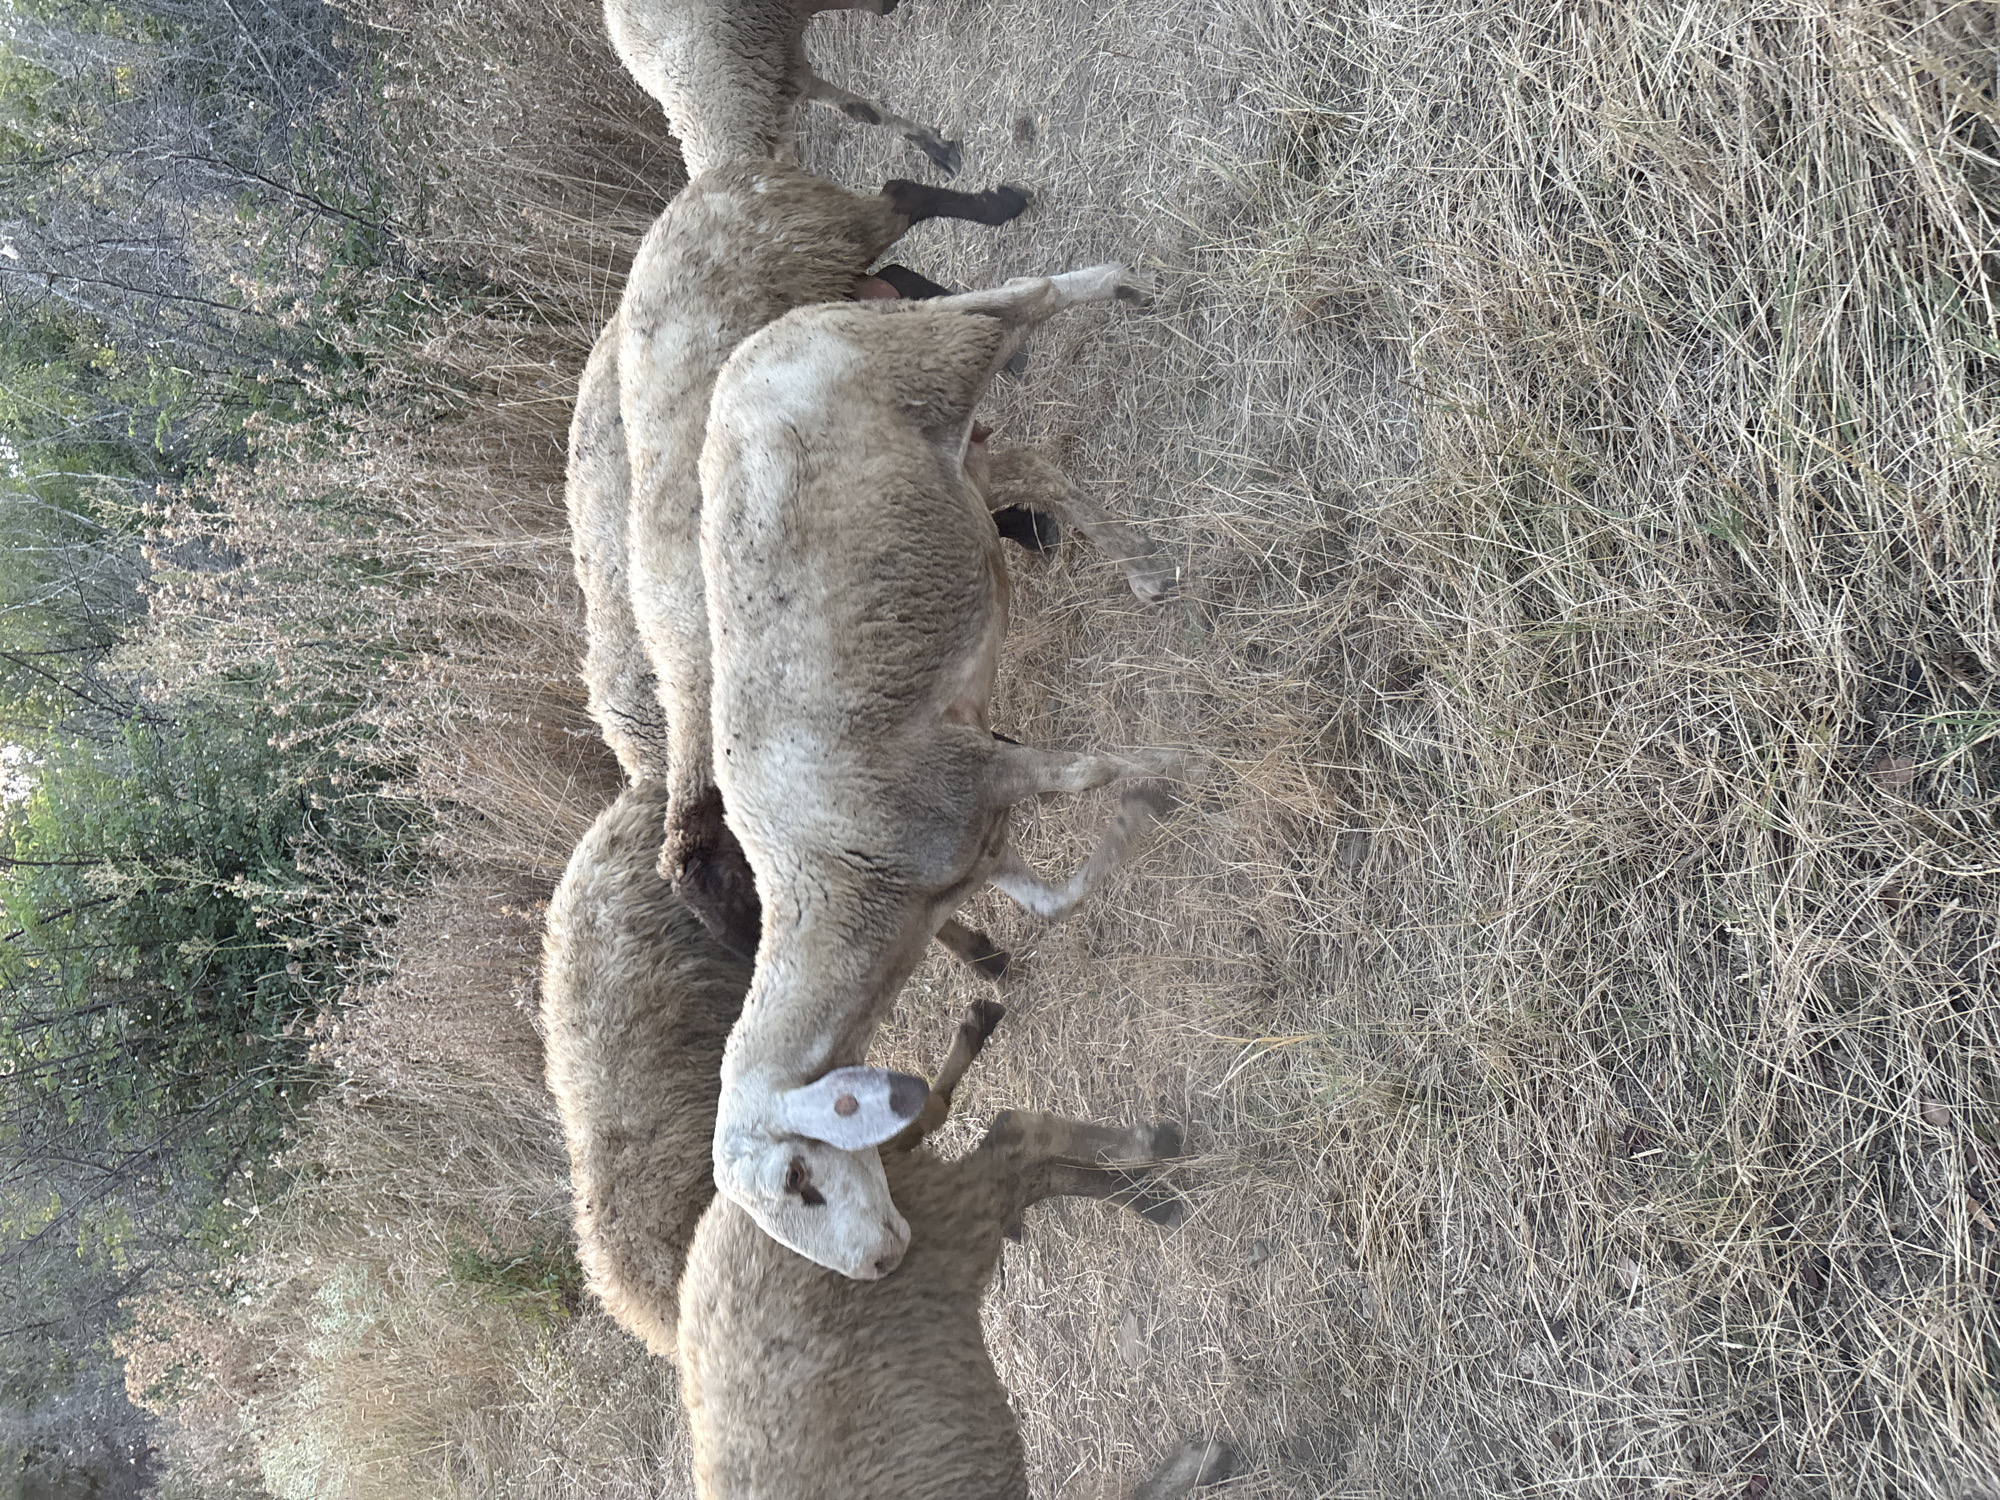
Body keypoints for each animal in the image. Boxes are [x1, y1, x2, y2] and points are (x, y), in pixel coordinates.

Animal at [699, 264, 1185, 1278]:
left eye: (800, 1178)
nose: (880, 1269)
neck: (842, 885)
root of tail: (772, 334)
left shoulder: (967, 773)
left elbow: (1085, 772)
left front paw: (1171, 766)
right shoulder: (973, 843)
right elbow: (1057, 901)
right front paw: (1145, 806)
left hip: (932, 359)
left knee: (1023, 299)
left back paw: (1126, 287)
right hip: (950, 459)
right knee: (1035, 465)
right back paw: (1140, 566)